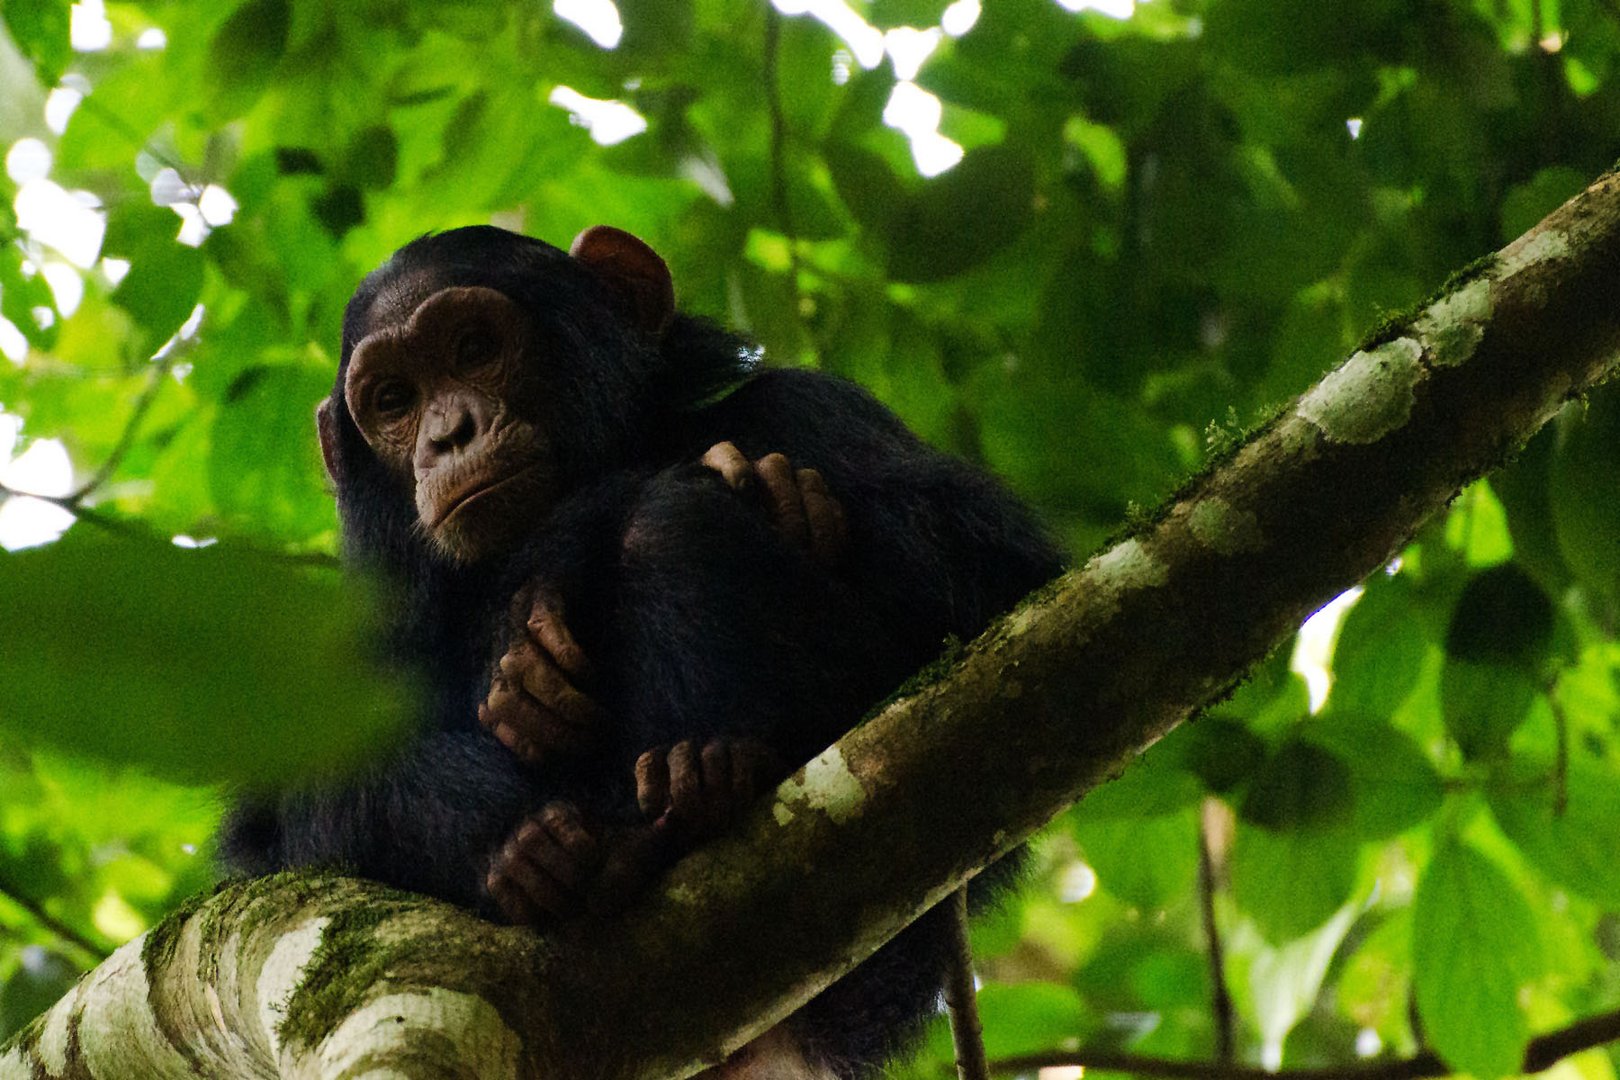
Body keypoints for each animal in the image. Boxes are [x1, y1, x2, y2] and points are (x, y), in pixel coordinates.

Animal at [225, 223, 1062, 1075]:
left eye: (473, 346)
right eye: (394, 399)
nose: (448, 433)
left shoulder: (817, 405)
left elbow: (982, 575)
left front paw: (590, 535)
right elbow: (274, 826)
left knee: (667, 522)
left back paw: (698, 776)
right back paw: (529, 846)